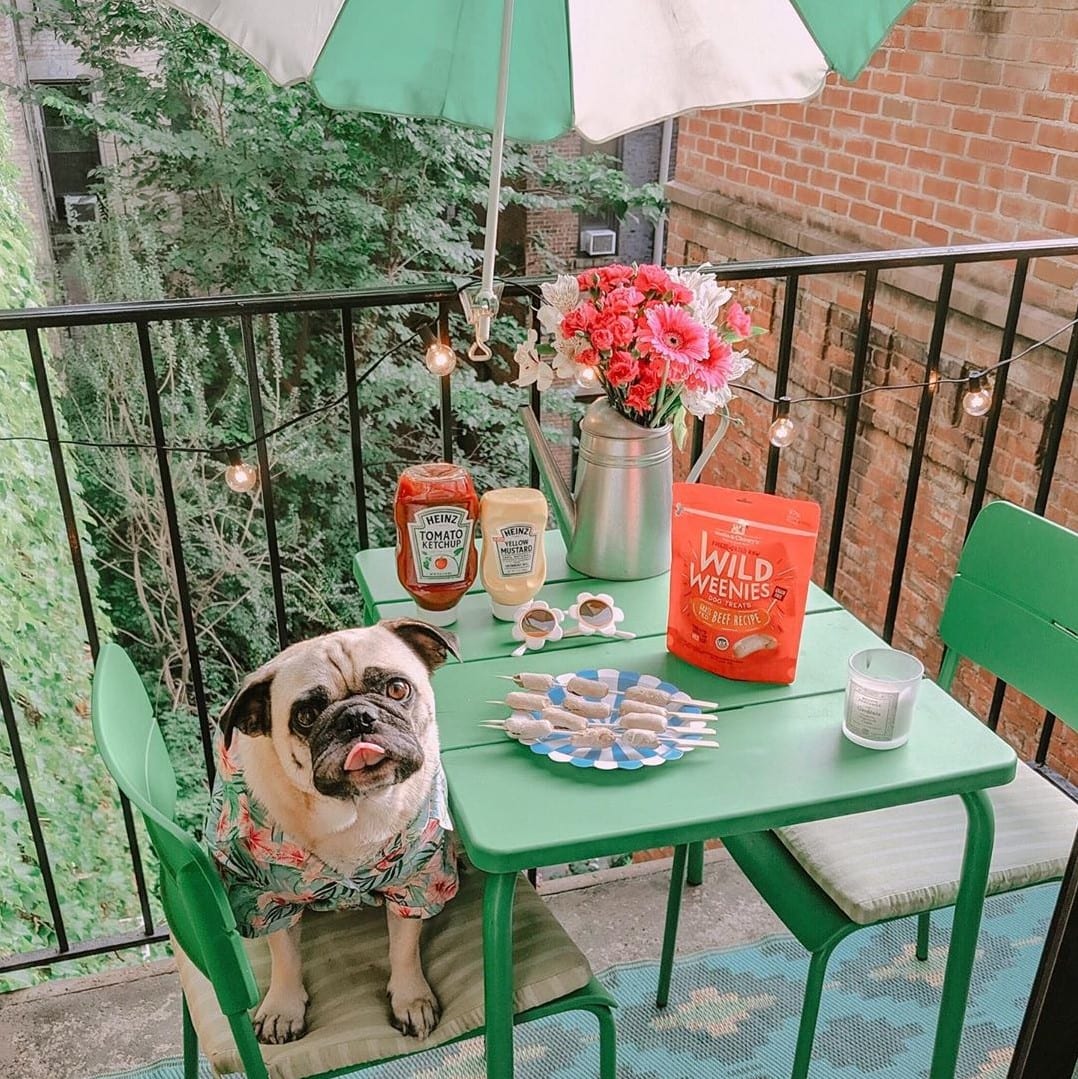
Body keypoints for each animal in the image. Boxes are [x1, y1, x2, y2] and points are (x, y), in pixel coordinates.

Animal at [205, 621, 459, 1040]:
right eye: (306, 715)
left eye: (397, 689)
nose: (357, 717)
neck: (354, 809)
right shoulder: (263, 896)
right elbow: (284, 954)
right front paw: (282, 1007)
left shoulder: (416, 882)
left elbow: (404, 946)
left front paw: (411, 998)